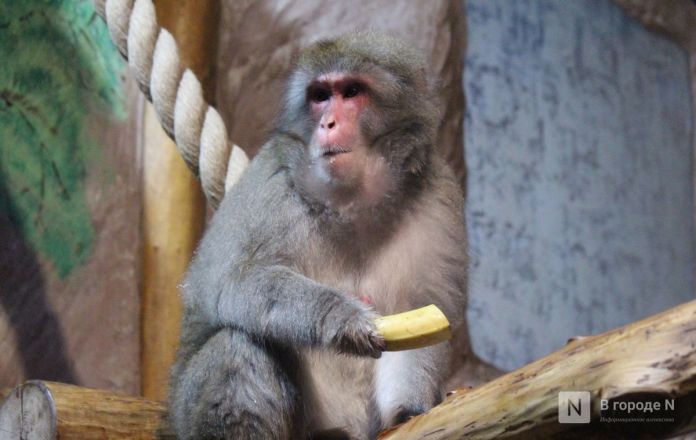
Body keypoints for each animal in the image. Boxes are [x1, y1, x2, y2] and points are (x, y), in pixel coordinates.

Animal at [169, 31, 468, 440]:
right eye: (320, 95)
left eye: (352, 91)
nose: (327, 123)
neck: (353, 204)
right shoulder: (272, 187)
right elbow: (234, 283)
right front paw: (341, 317)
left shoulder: (439, 195)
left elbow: (425, 302)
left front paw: (408, 410)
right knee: (236, 346)